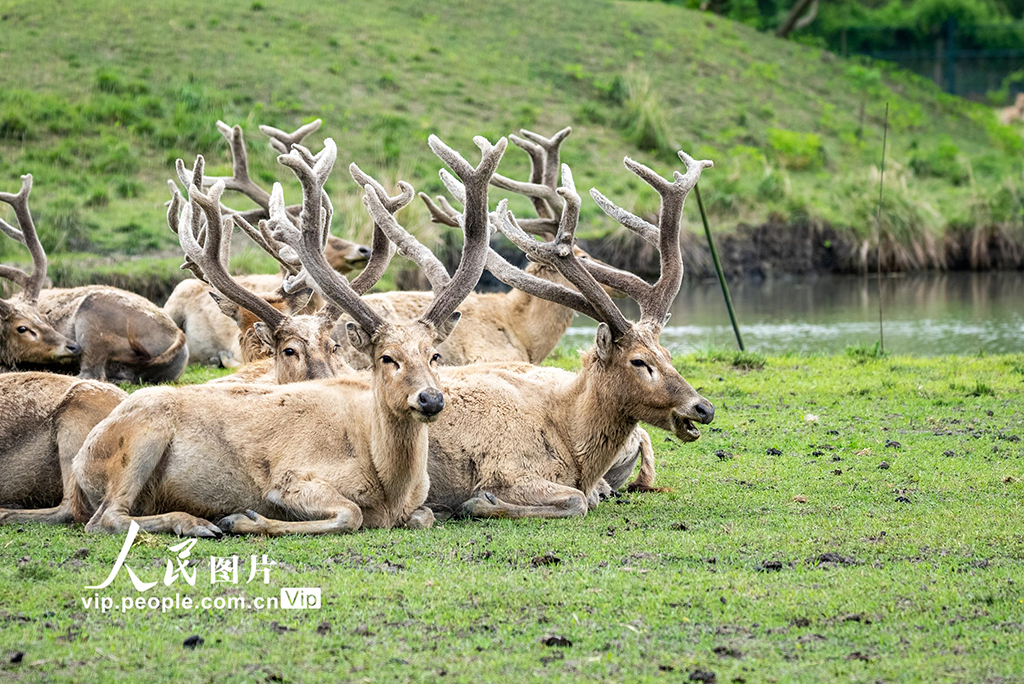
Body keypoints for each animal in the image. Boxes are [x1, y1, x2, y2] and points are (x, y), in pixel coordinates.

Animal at [0, 174, 187, 382]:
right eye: (22, 328)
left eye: (44, 319)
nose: (71, 346)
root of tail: (178, 338)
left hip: (93, 316)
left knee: (91, 373)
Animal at [364, 149, 716, 518]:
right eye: (638, 361)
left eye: (668, 354)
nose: (703, 408)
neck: (571, 444)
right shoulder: (507, 467)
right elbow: (577, 501)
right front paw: (481, 502)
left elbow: (584, 498)